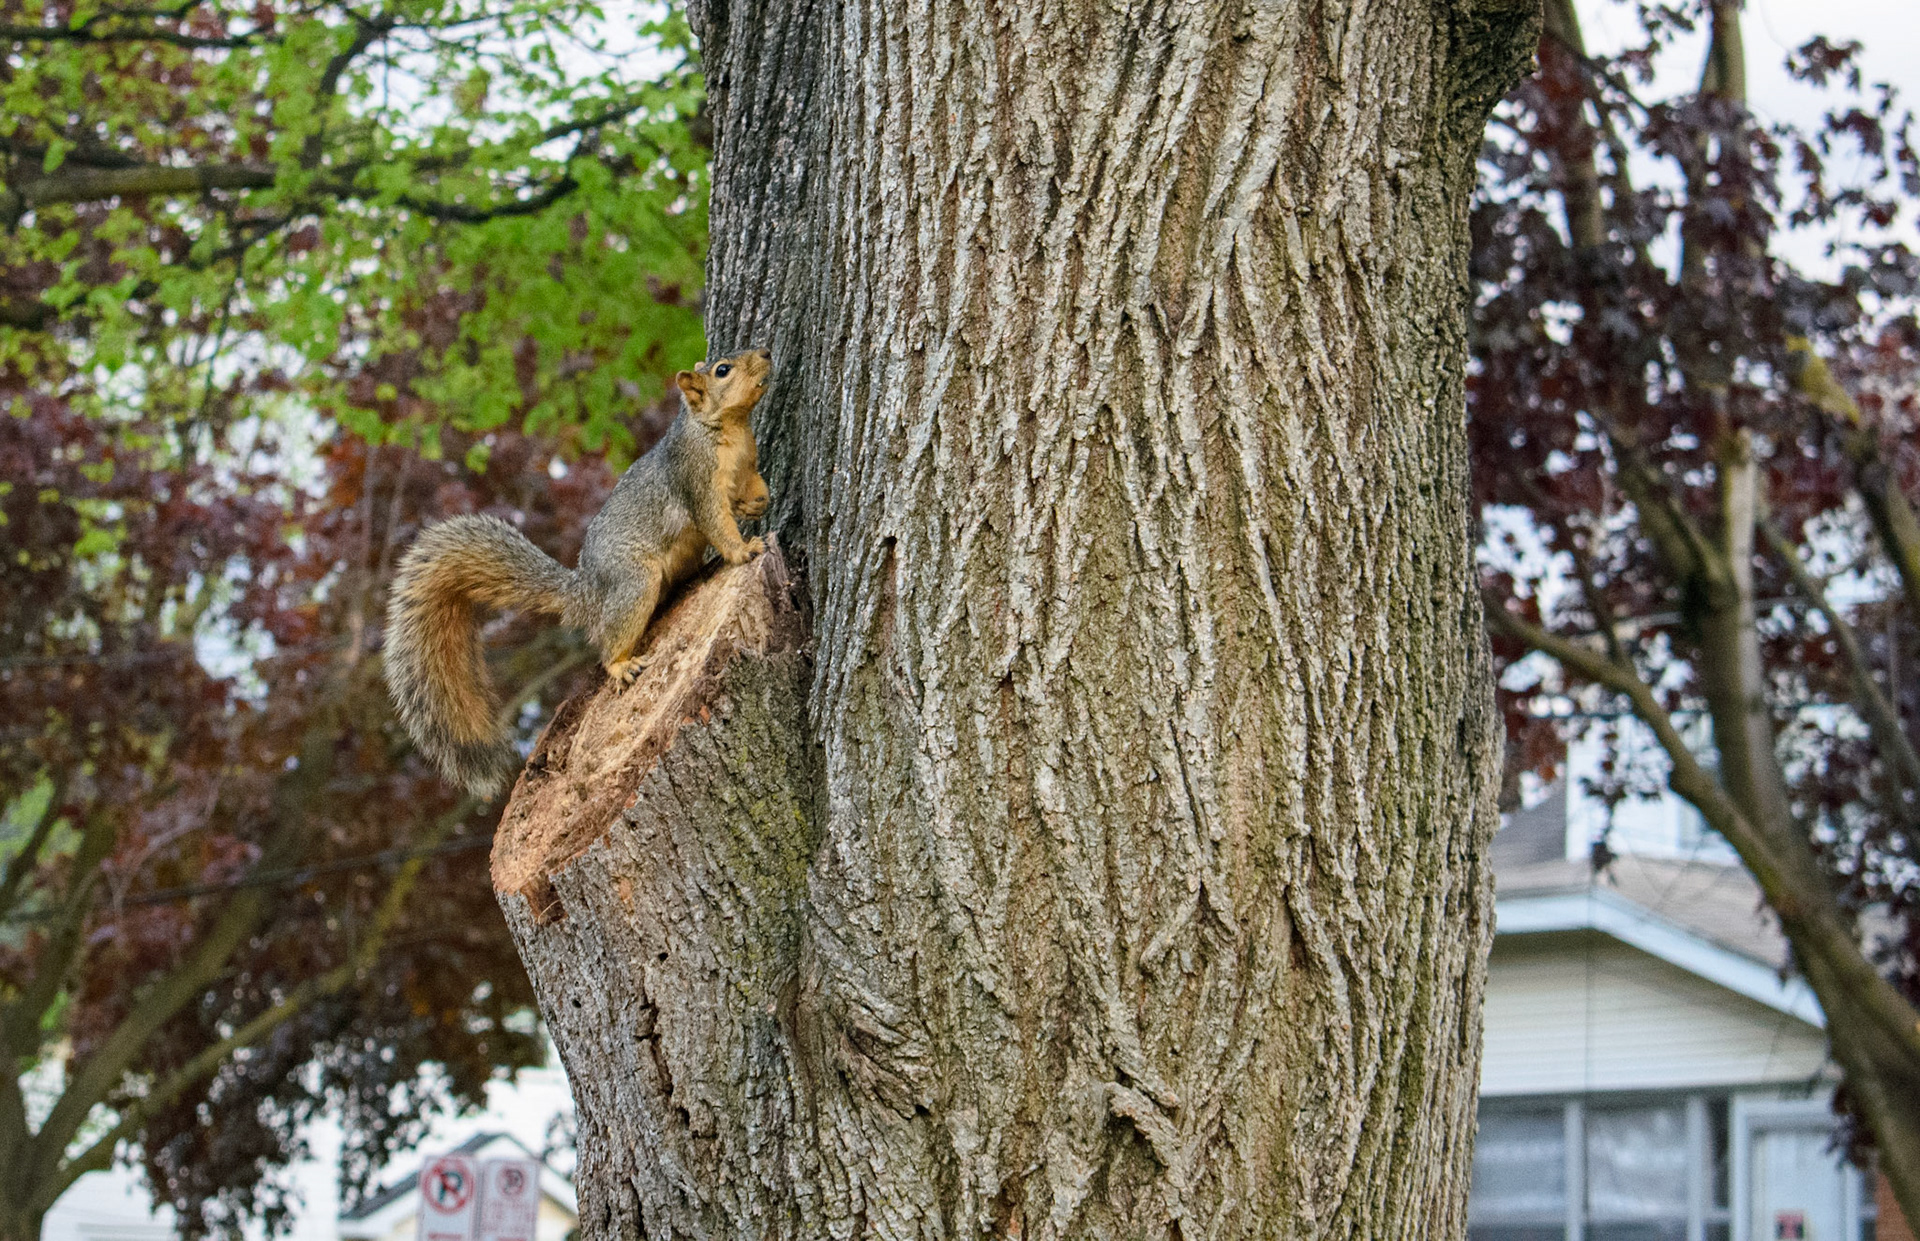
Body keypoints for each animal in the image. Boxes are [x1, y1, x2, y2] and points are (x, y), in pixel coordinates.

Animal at [384, 347, 774, 797]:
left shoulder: (747, 466)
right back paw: (622, 665)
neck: (728, 427)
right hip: (634, 583)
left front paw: (757, 505)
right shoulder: (695, 480)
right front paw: (743, 549)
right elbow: (716, 523)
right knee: (608, 641)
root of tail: (586, 593)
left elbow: (754, 486)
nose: (766, 352)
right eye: (723, 370)